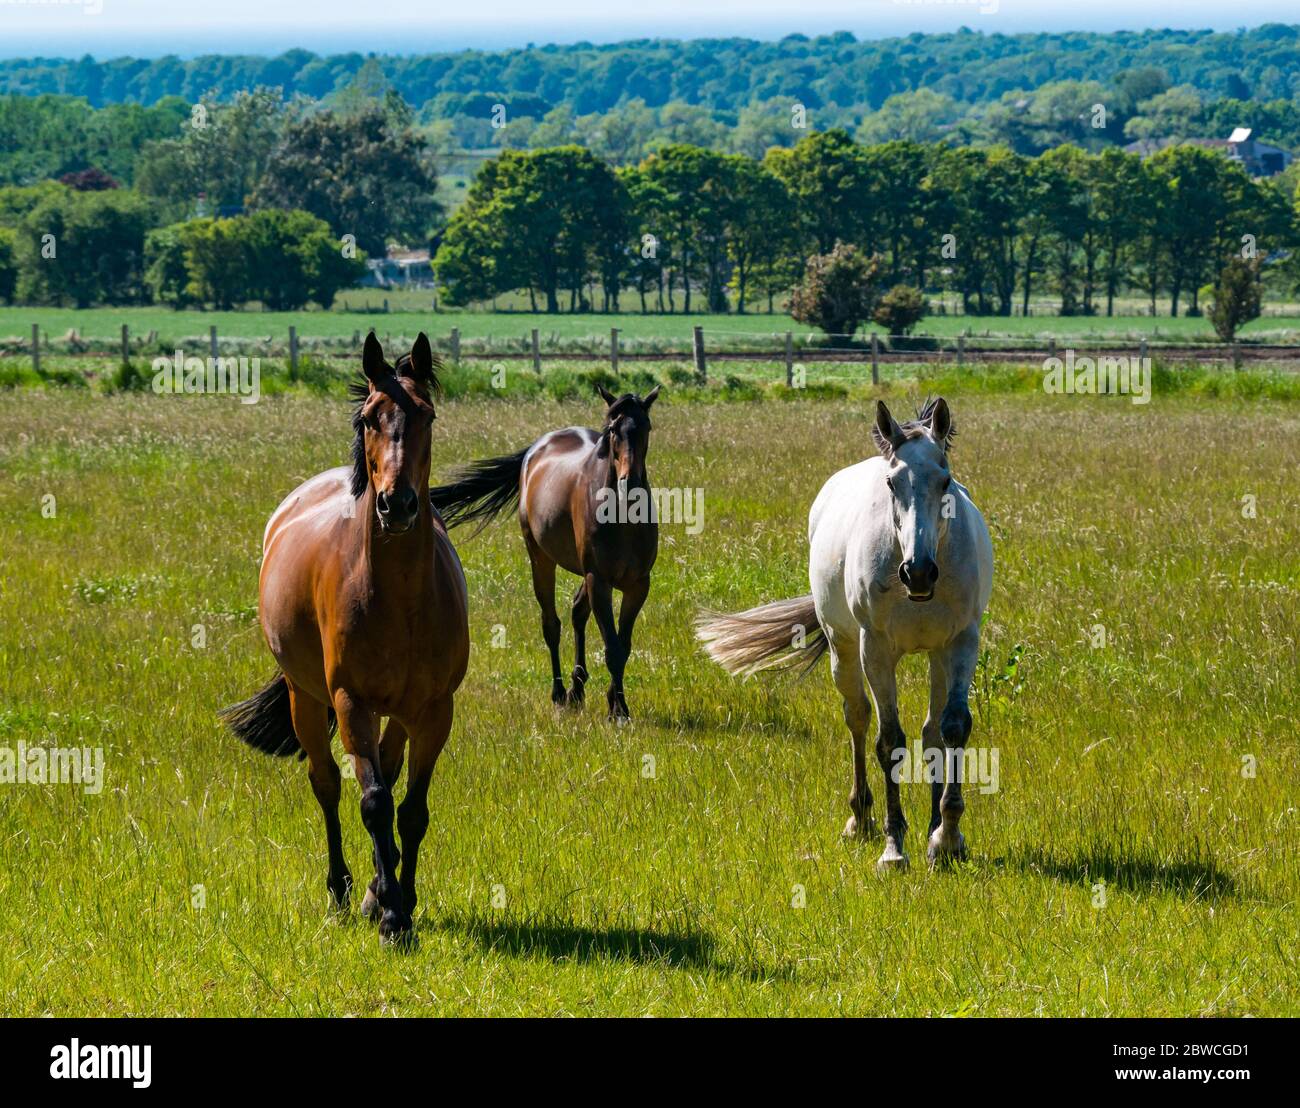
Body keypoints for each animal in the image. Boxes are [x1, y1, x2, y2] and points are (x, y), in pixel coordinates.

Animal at [220, 332, 470, 941]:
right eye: (368, 418)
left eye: (426, 414)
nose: (396, 504)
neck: (401, 600)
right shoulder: (350, 700)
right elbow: (374, 801)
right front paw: (392, 918)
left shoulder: (434, 709)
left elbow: (412, 808)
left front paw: (399, 897)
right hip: (306, 697)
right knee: (328, 783)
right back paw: (342, 891)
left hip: (395, 712)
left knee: (383, 770)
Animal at [431, 384, 660, 723]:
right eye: (613, 429)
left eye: (646, 426)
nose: (629, 482)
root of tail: (537, 448)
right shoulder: (600, 580)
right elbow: (613, 648)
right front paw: (618, 710)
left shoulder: (638, 585)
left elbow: (623, 645)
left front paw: (615, 704)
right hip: (541, 558)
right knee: (551, 624)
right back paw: (560, 693)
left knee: (577, 611)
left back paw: (577, 689)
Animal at [702, 397, 993, 873]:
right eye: (892, 483)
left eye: (946, 479)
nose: (918, 573)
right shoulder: (875, 649)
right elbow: (889, 741)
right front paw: (894, 848)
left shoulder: (961, 642)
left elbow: (952, 727)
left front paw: (947, 839)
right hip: (843, 648)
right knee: (857, 717)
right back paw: (860, 819)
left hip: (936, 655)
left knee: (931, 730)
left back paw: (930, 825)